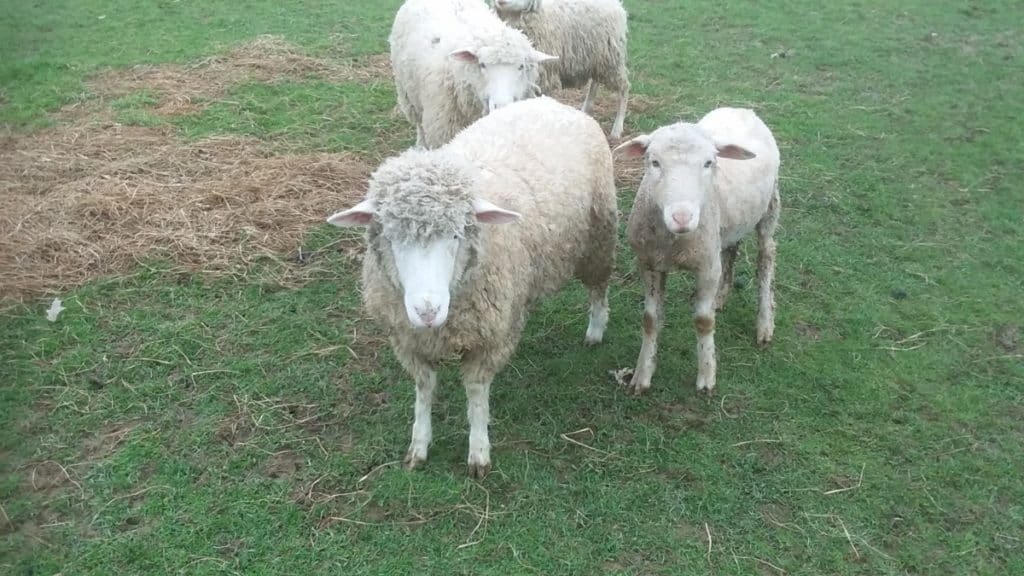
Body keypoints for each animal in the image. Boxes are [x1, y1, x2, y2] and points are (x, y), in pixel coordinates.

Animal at [327, 96, 614, 477]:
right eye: (390, 236)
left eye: (456, 235)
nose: (427, 310)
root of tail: (552, 102)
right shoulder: (408, 339)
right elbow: (424, 389)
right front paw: (419, 444)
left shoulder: (488, 339)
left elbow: (477, 394)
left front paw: (478, 450)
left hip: (599, 236)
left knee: (599, 288)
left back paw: (595, 330)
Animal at [489, 0, 630, 138]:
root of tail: (618, 5)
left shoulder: (545, 74)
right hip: (597, 58)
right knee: (595, 83)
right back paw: (586, 109)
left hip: (611, 58)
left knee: (624, 87)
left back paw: (617, 128)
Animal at [610, 105, 778, 393]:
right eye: (654, 162)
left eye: (709, 162)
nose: (682, 218)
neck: (674, 242)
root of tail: (740, 108)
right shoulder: (649, 263)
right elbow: (650, 320)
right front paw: (642, 375)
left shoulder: (707, 268)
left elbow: (703, 321)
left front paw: (706, 377)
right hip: (726, 228)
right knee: (731, 251)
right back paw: (721, 297)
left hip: (770, 209)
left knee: (765, 259)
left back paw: (764, 324)